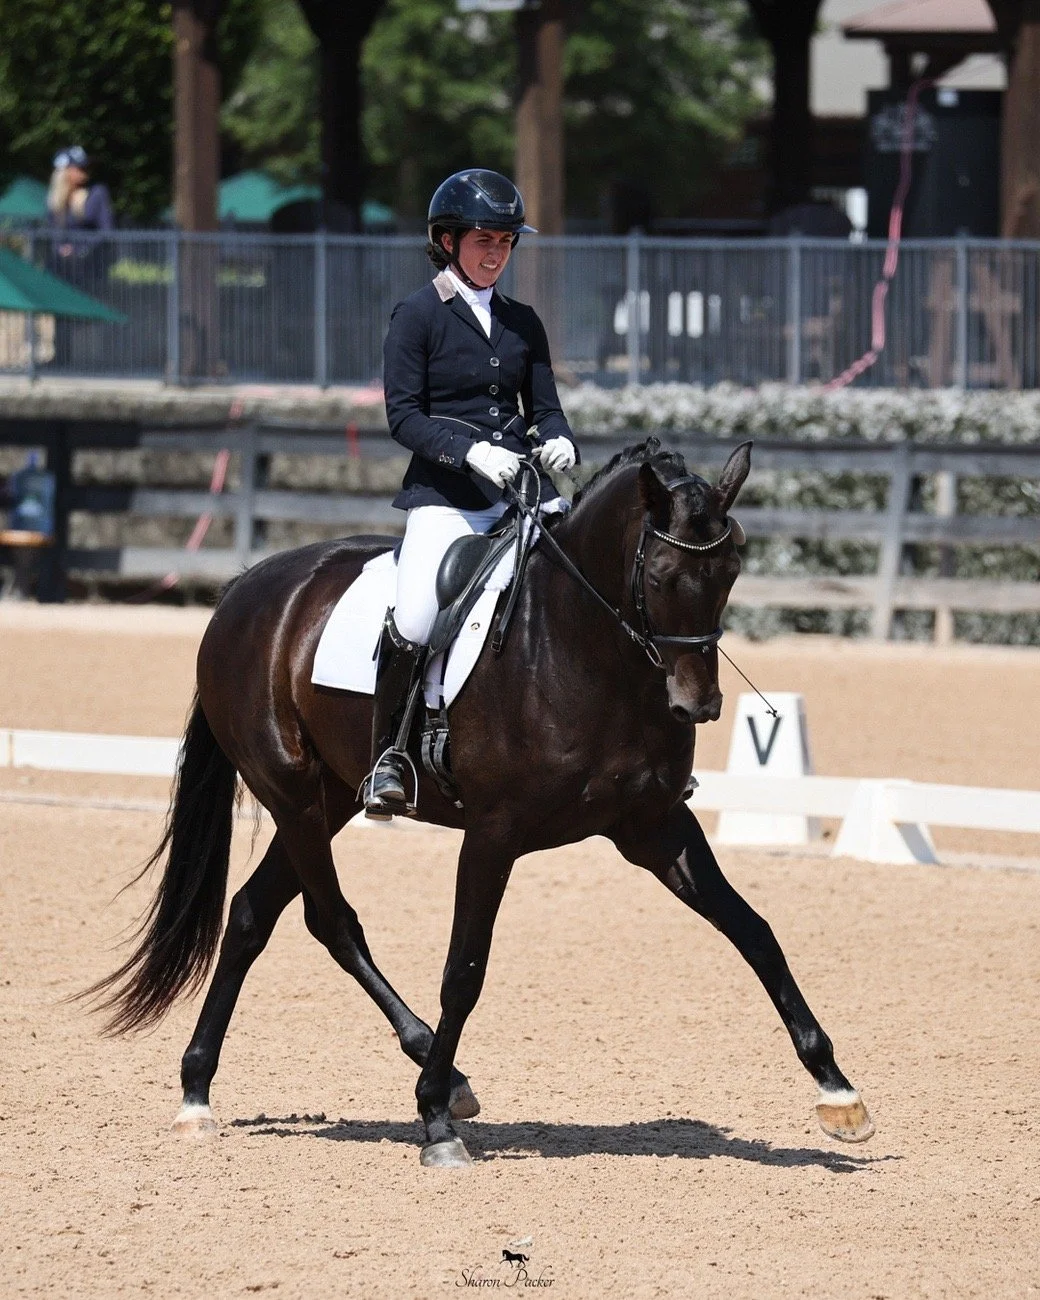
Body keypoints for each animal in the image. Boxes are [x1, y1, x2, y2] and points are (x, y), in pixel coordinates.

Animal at [86, 437, 874, 1168]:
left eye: (731, 569)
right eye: (659, 574)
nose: (699, 705)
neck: (582, 647)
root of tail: (246, 590)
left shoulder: (652, 827)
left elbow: (754, 932)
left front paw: (838, 1092)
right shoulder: (495, 833)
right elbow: (464, 970)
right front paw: (435, 1121)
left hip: (330, 798)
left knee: (253, 914)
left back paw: (197, 1092)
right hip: (294, 796)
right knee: (330, 920)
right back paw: (429, 1075)